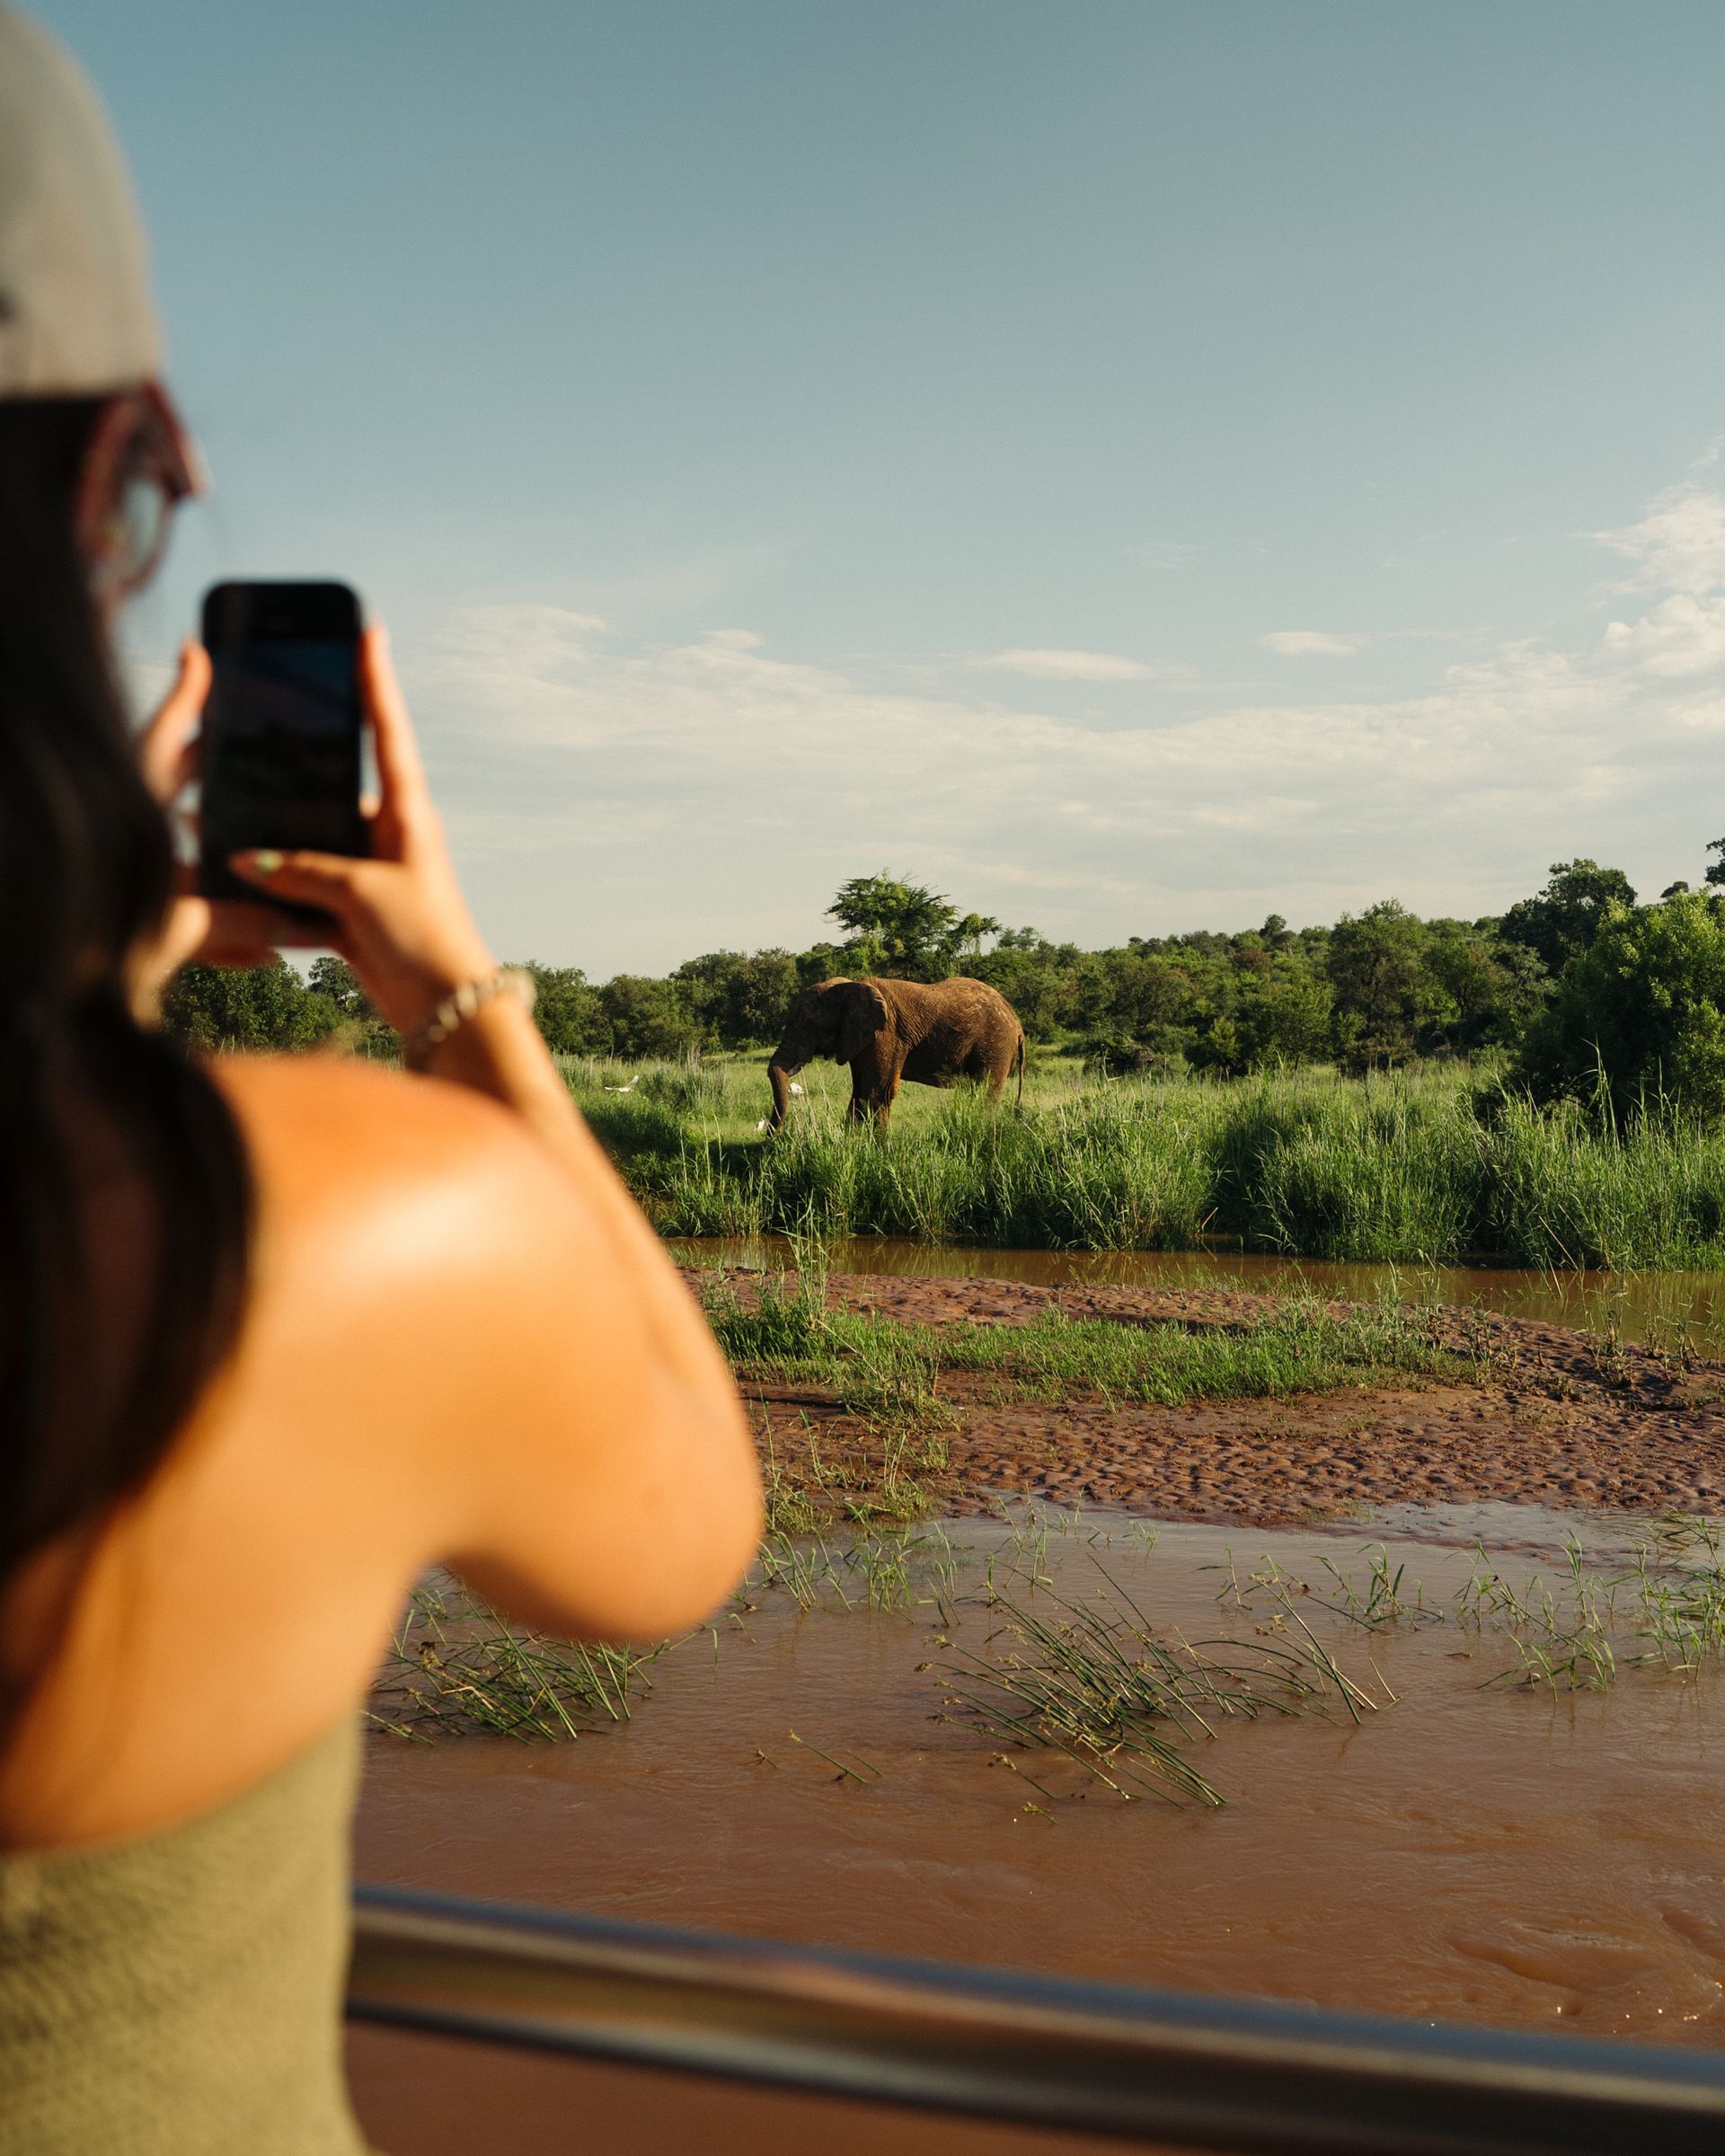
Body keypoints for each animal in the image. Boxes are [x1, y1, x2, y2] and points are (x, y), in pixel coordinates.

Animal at [767, 976, 1026, 1130]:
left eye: (810, 1025)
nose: (772, 1136)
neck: (850, 985)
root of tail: (1017, 1023)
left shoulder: (887, 1035)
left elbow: (876, 1093)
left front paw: (878, 1150)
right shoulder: (860, 1038)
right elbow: (859, 1093)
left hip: (995, 1044)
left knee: (985, 1092)